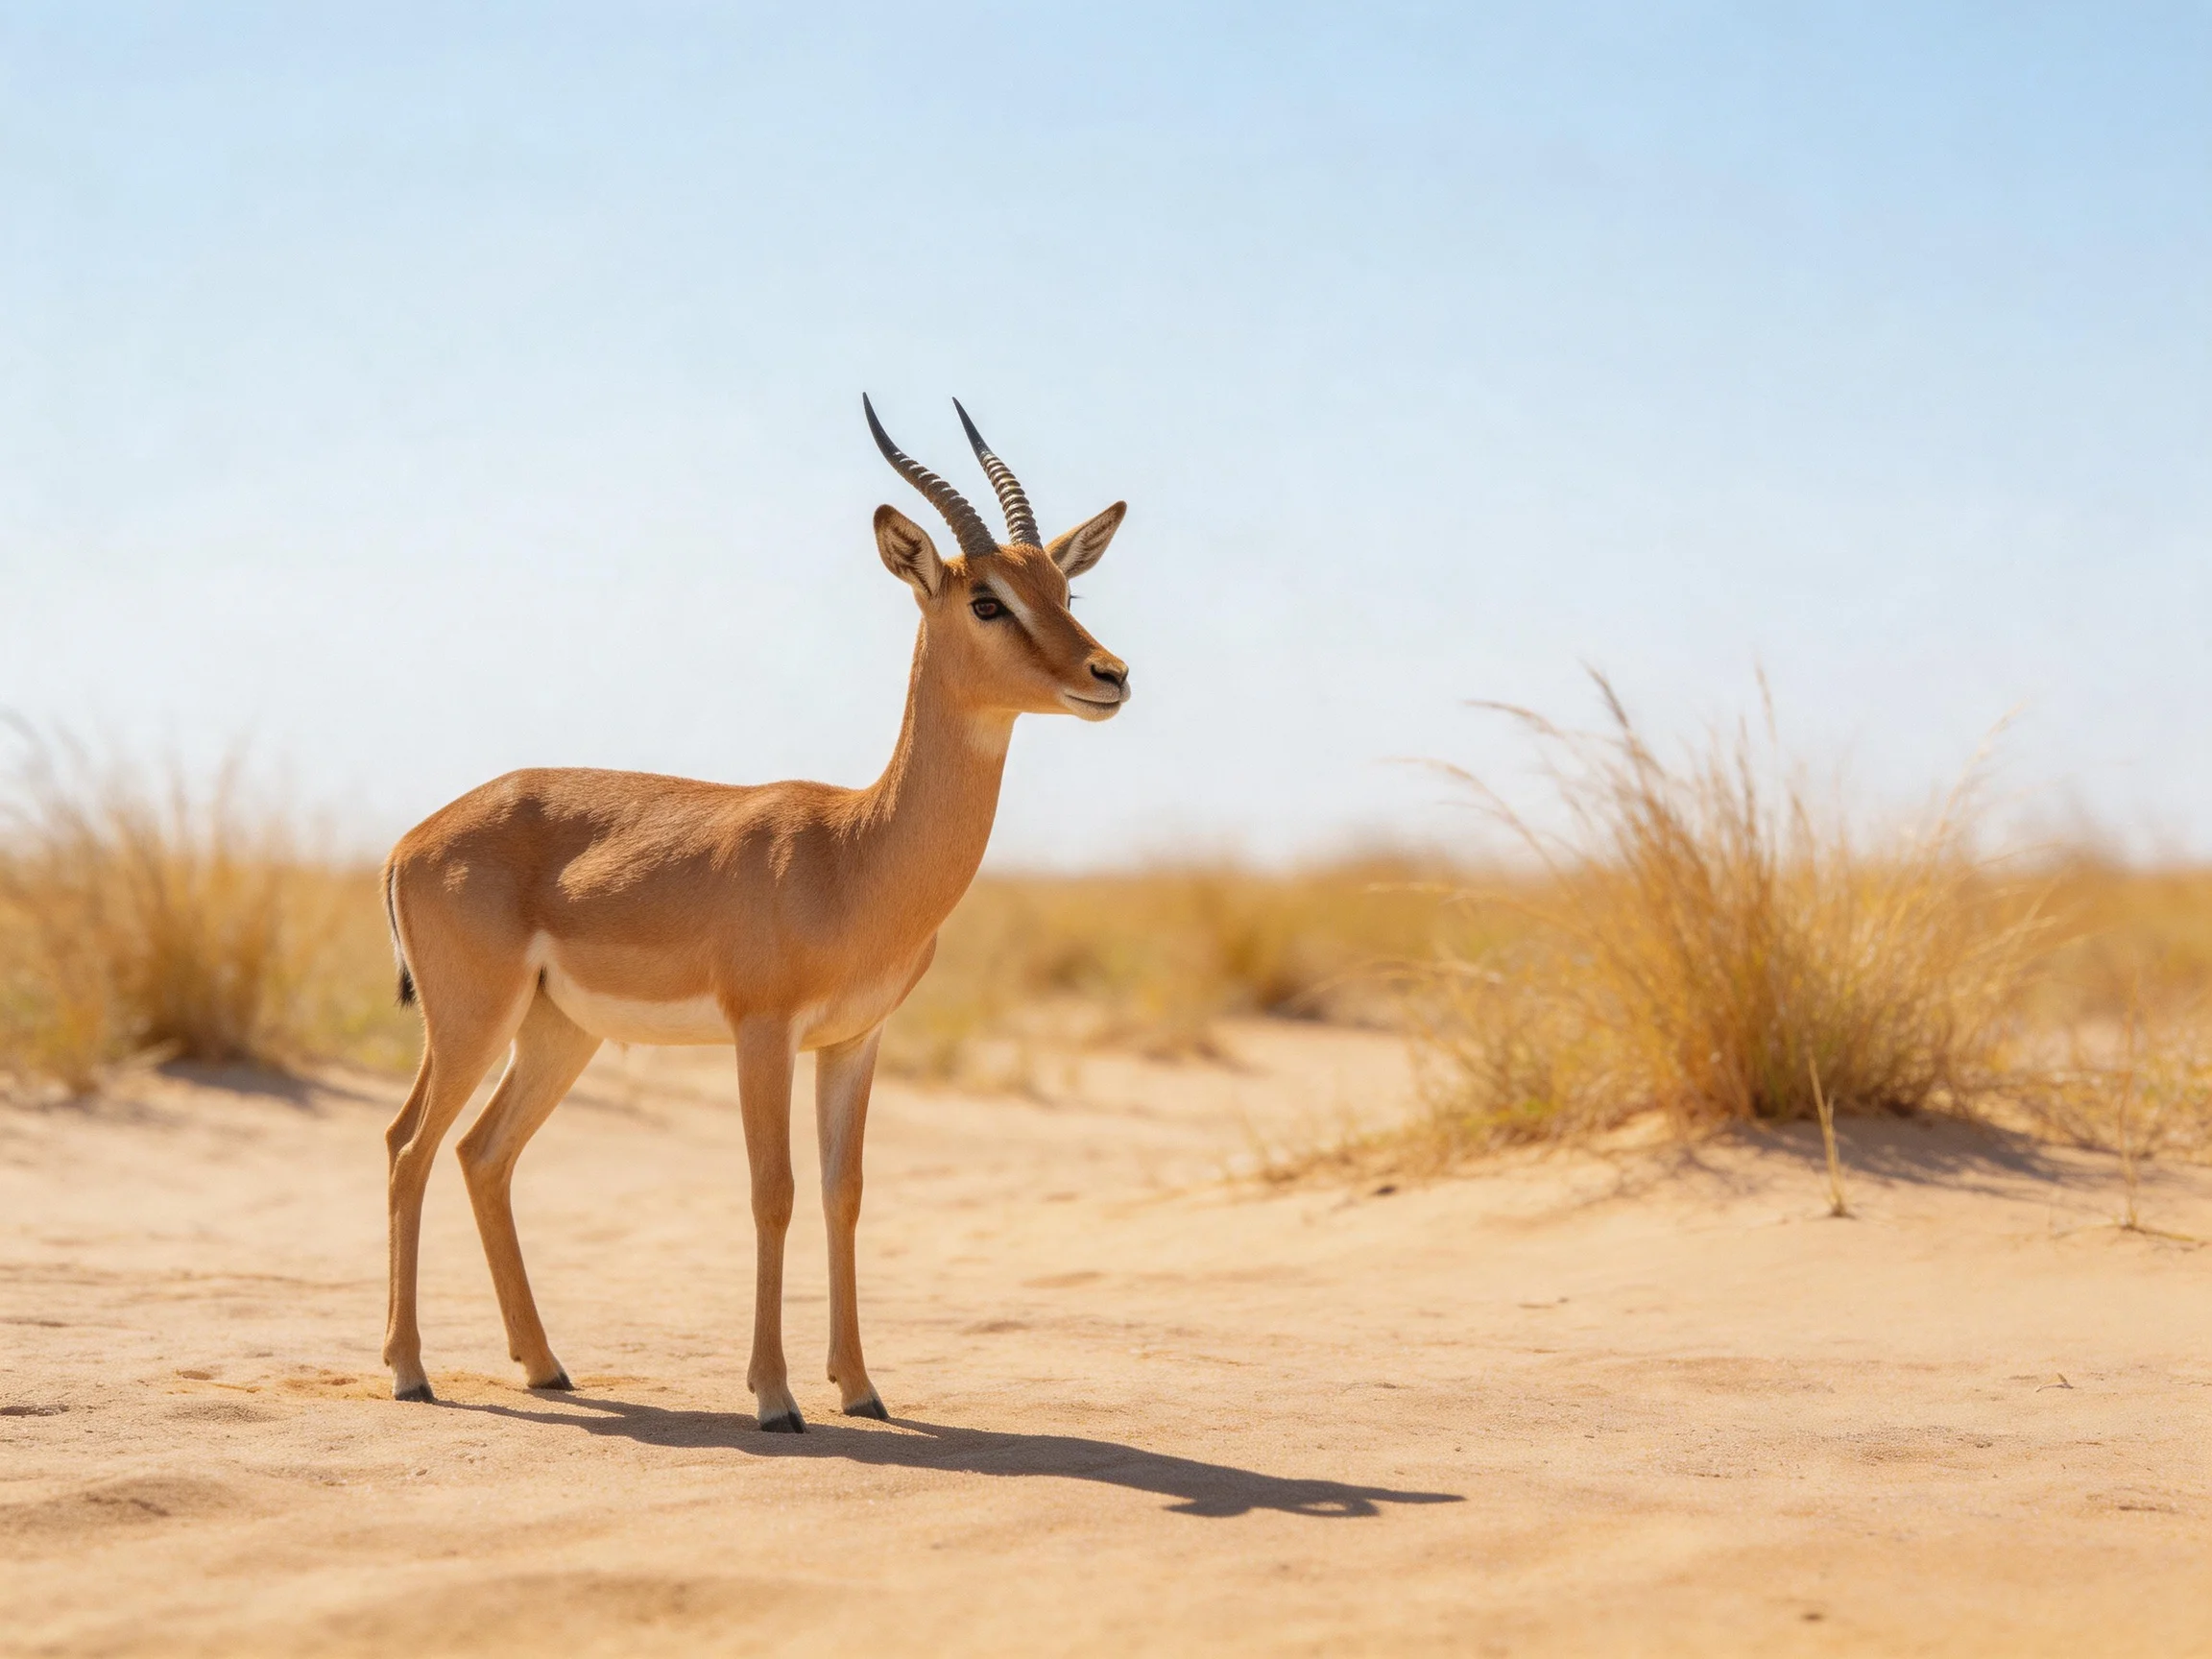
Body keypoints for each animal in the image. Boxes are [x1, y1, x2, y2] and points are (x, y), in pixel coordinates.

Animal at [379, 398, 1129, 1429]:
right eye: (987, 600)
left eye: (1065, 589)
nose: (1111, 675)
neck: (855, 850)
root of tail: (411, 840)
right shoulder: (762, 1032)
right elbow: (772, 1191)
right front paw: (775, 1397)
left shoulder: (853, 1042)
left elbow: (843, 1191)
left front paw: (860, 1387)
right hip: (471, 1023)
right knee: (407, 1147)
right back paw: (410, 1372)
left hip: (556, 1033)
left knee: (481, 1154)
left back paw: (546, 1366)